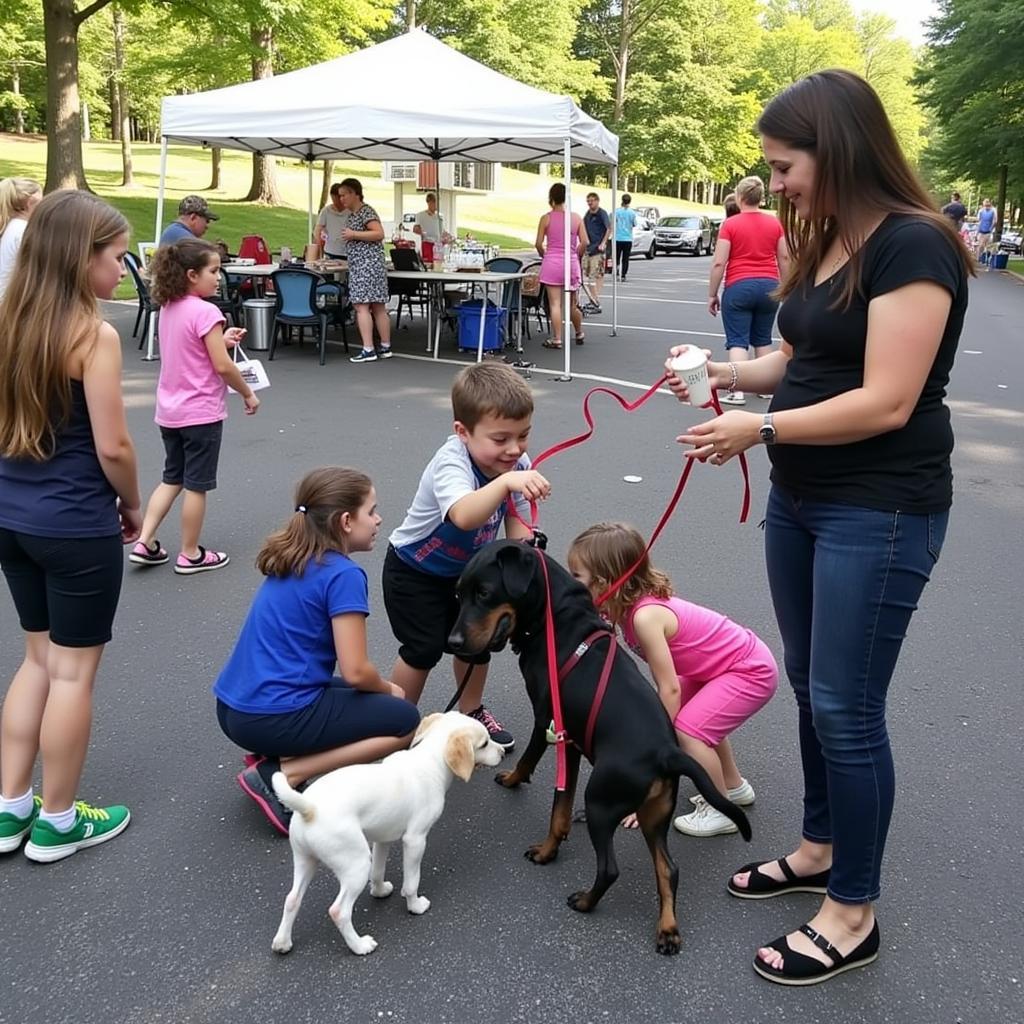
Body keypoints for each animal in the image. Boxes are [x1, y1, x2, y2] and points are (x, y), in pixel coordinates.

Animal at [268, 708, 499, 954]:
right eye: (485, 743)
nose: (503, 752)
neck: (429, 761)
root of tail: (311, 808)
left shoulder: (382, 840)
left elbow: (378, 871)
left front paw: (379, 892)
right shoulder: (415, 840)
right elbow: (411, 882)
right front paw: (415, 906)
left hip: (306, 860)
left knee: (292, 899)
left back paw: (282, 943)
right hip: (356, 864)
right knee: (339, 911)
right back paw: (359, 946)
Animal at [448, 540, 753, 954]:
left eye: (484, 593)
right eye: (459, 594)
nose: (453, 644)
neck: (555, 618)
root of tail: (667, 752)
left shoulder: (548, 720)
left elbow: (539, 775)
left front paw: (520, 795)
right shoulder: (572, 743)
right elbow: (560, 810)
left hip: (599, 799)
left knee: (610, 869)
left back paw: (585, 902)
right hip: (654, 815)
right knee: (668, 869)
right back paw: (667, 929)